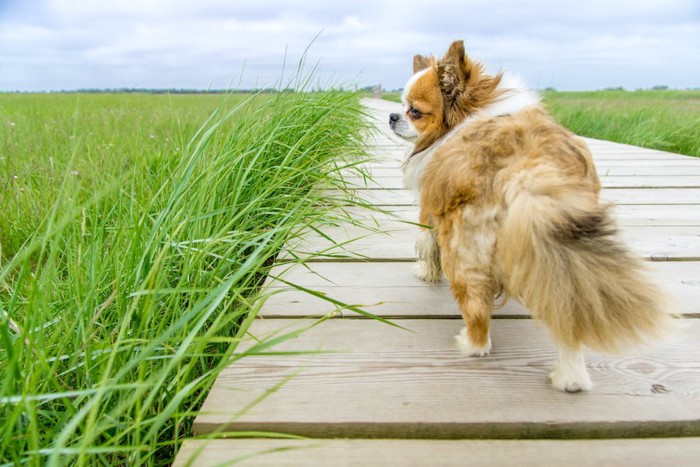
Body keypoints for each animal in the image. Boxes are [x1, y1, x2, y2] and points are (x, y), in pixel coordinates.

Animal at [388, 40, 672, 394]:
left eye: (414, 110)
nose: (392, 115)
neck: (472, 112)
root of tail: (530, 173)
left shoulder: (431, 208)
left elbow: (425, 243)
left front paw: (424, 272)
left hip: (465, 252)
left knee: (477, 314)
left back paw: (469, 344)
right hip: (562, 258)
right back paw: (571, 377)